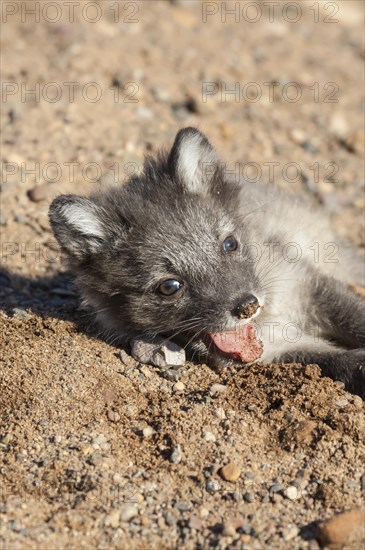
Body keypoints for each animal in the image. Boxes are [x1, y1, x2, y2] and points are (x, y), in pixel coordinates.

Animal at [49, 128, 364, 398]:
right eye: (169, 286)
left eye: (230, 243)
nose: (247, 306)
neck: (269, 319)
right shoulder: (283, 348)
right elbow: (341, 362)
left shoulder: (307, 284)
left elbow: (356, 317)